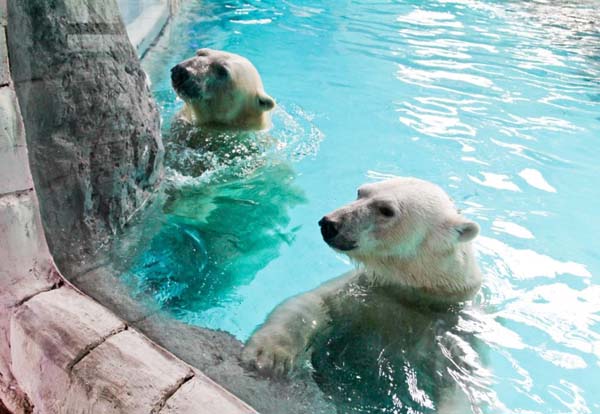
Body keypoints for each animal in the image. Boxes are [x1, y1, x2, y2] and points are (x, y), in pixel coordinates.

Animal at [241, 176, 486, 412]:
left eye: (386, 210)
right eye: (361, 192)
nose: (330, 223)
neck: (415, 294)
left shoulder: (448, 341)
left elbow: (458, 389)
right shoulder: (360, 292)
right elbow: (312, 304)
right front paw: (268, 355)